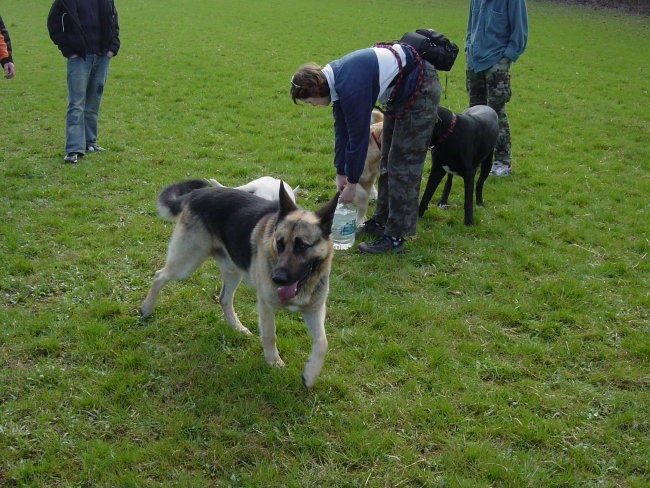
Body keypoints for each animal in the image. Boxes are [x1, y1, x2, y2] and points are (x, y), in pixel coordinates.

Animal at [139, 179, 336, 388]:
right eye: (279, 244)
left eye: (302, 246)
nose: (276, 278)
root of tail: (196, 194)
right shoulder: (266, 306)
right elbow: (270, 335)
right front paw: (274, 361)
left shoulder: (315, 309)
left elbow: (322, 342)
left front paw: (310, 374)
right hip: (186, 263)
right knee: (159, 276)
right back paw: (146, 309)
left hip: (232, 272)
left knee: (224, 299)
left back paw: (237, 327)